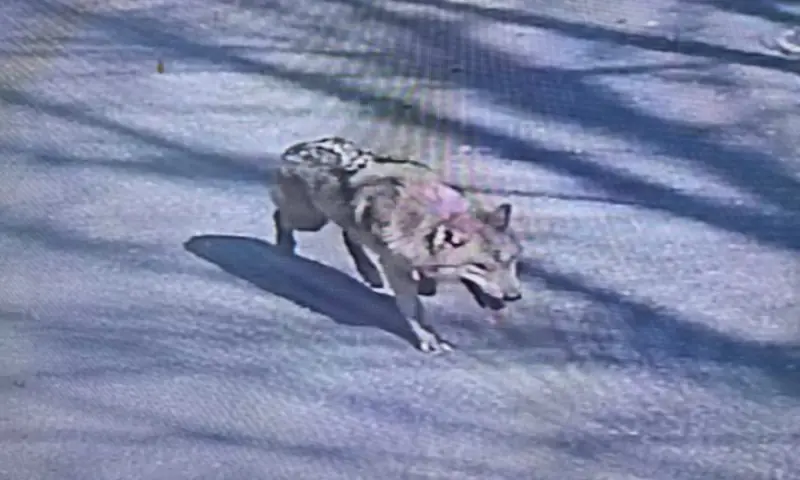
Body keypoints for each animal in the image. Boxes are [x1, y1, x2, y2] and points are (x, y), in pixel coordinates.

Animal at [270, 137, 523, 353]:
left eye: (510, 262)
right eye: (482, 266)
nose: (514, 297)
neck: (430, 219)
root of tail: (295, 149)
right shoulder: (395, 268)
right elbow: (412, 309)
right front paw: (428, 338)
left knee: (349, 234)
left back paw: (369, 273)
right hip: (310, 220)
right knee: (280, 216)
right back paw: (284, 248)